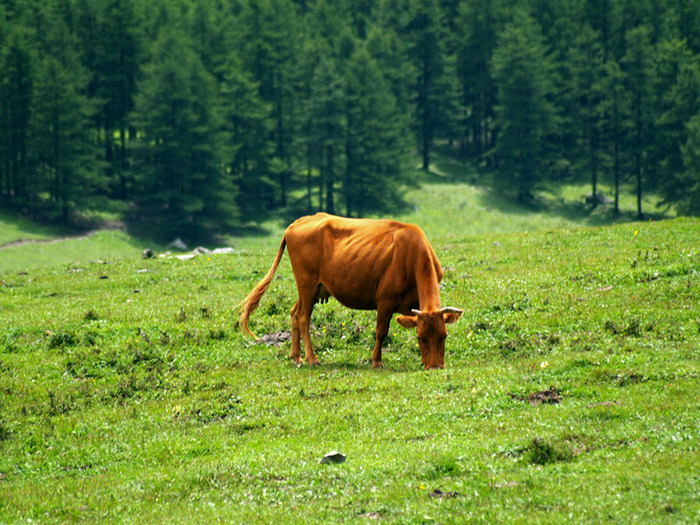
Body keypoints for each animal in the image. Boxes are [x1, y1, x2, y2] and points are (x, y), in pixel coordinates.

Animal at [238, 212, 462, 368]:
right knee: (303, 318)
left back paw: (296, 357)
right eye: (420, 338)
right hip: (307, 284)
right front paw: (376, 362)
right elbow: (381, 332)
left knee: (294, 313)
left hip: (311, 289)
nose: (435, 367)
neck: (412, 257)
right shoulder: (385, 300)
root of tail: (297, 223)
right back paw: (312, 359)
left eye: (443, 336)